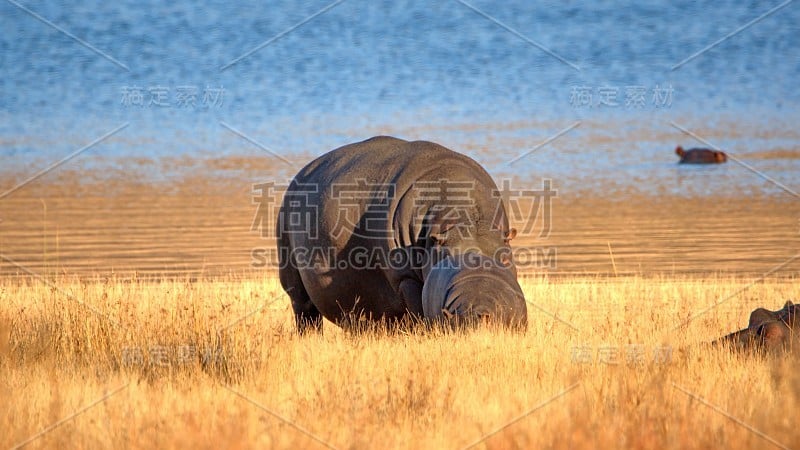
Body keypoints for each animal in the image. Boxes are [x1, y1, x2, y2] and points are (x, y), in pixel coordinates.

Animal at [278, 135, 528, 332]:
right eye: (445, 256)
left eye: (506, 257)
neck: (467, 219)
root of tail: (303, 171)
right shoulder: (405, 279)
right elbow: (418, 310)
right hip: (294, 282)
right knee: (305, 314)